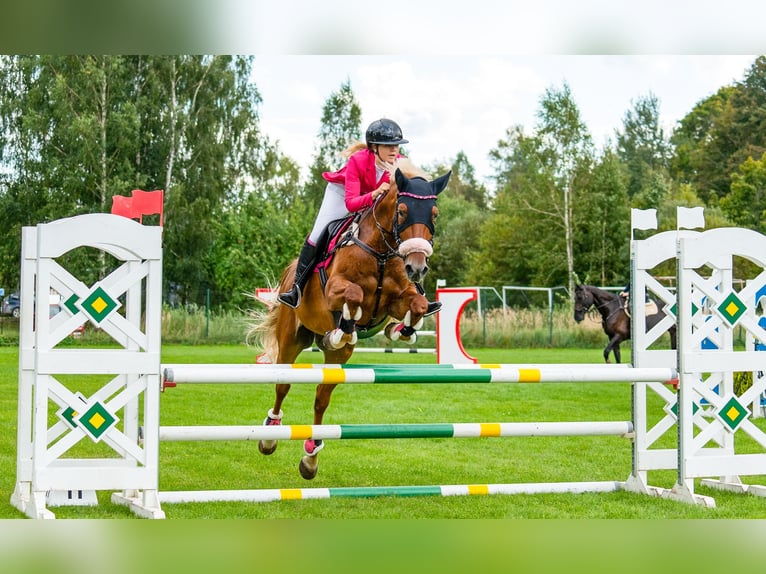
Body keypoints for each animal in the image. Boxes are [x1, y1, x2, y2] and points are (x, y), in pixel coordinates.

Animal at [252, 165, 450, 482]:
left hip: (337, 359)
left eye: (434, 213)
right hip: (291, 340)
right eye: (402, 211)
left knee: (321, 398)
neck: (381, 252)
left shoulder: (397, 299)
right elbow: (354, 294)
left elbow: (417, 304)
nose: (417, 266)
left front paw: (402, 330)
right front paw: (345, 325)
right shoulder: (335, 290)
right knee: (283, 386)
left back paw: (311, 457)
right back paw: (269, 437)